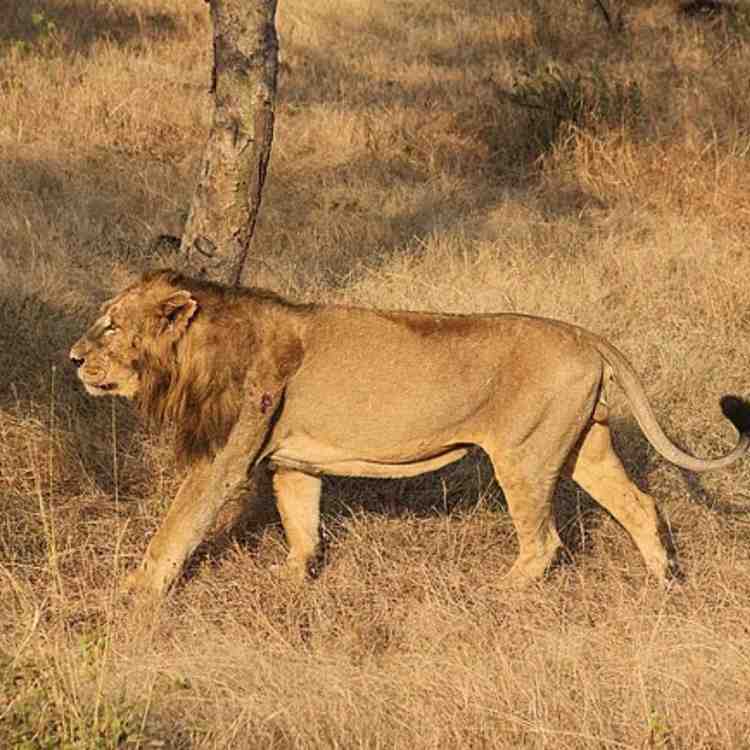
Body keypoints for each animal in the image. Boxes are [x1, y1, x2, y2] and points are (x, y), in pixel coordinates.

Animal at [69, 269, 750, 598]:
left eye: (111, 326)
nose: (73, 359)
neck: (194, 352)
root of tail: (586, 334)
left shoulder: (221, 458)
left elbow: (176, 527)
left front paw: (136, 593)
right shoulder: (293, 462)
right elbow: (301, 526)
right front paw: (291, 583)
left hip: (523, 457)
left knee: (545, 542)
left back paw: (499, 594)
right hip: (587, 444)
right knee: (640, 504)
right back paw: (665, 582)